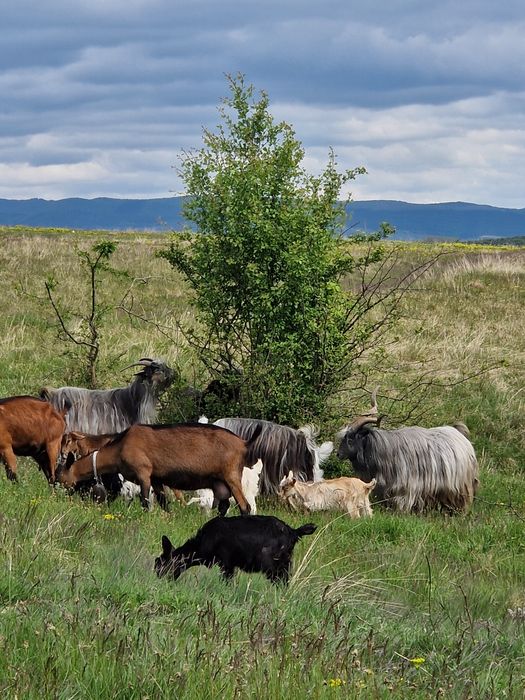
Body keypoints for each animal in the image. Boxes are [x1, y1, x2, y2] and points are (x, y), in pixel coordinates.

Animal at [57, 422, 262, 515]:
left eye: (61, 477)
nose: (58, 494)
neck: (120, 446)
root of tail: (244, 443)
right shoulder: (156, 479)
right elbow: (164, 503)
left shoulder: (144, 473)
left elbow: (145, 500)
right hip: (220, 483)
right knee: (224, 505)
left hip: (231, 476)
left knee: (245, 506)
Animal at [336, 388, 479, 513]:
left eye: (350, 438)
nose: (338, 454)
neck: (382, 449)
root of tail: (460, 435)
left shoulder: (405, 487)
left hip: (460, 486)